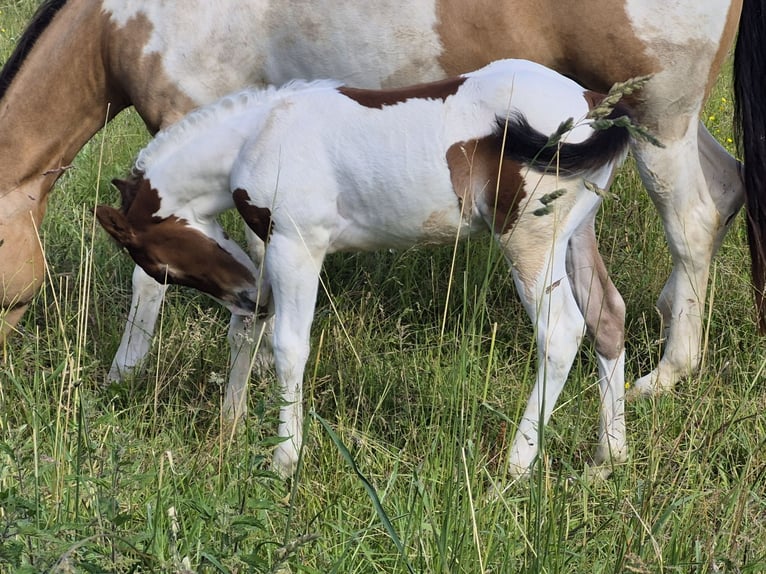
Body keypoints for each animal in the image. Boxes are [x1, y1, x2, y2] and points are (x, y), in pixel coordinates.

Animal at [0, 0, 759, 409]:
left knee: (691, 221)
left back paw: (668, 373)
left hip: (658, 121)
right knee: (725, 189)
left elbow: (149, 278)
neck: (129, 20)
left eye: (8, 294)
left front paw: (122, 375)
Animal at [95, 59, 633, 477]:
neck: (259, 135)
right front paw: (231, 426)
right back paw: (608, 457)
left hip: (529, 240)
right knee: (607, 316)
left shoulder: (296, 245)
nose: (252, 296)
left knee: (561, 332)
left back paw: (517, 466)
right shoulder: (269, 246)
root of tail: (593, 101)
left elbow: (289, 346)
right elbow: (245, 332)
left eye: (162, 269)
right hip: (576, 235)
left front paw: (285, 459)